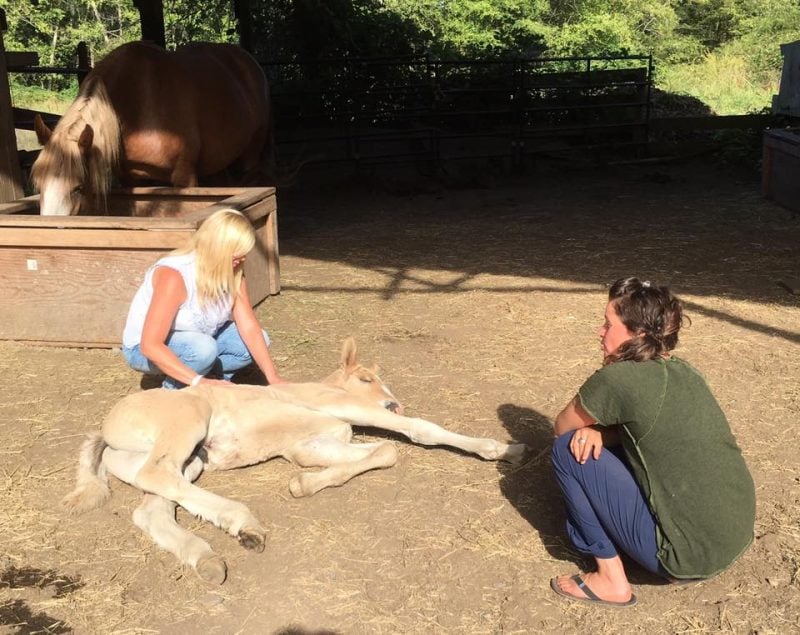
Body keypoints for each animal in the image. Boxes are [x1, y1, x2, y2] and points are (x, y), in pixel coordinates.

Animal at [61, 340, 524, 584]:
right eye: (366, 378)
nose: (394, 402)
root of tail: (106, 426)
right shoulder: (342, 412)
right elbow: (417, 431)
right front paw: (504, 449)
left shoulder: (311, 444)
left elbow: (384, 451)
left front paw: (305, 484)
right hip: (188, 421)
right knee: (158, 478)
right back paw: (243, 522)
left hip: (187, 459)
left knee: (153, 506)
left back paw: (210, 558)